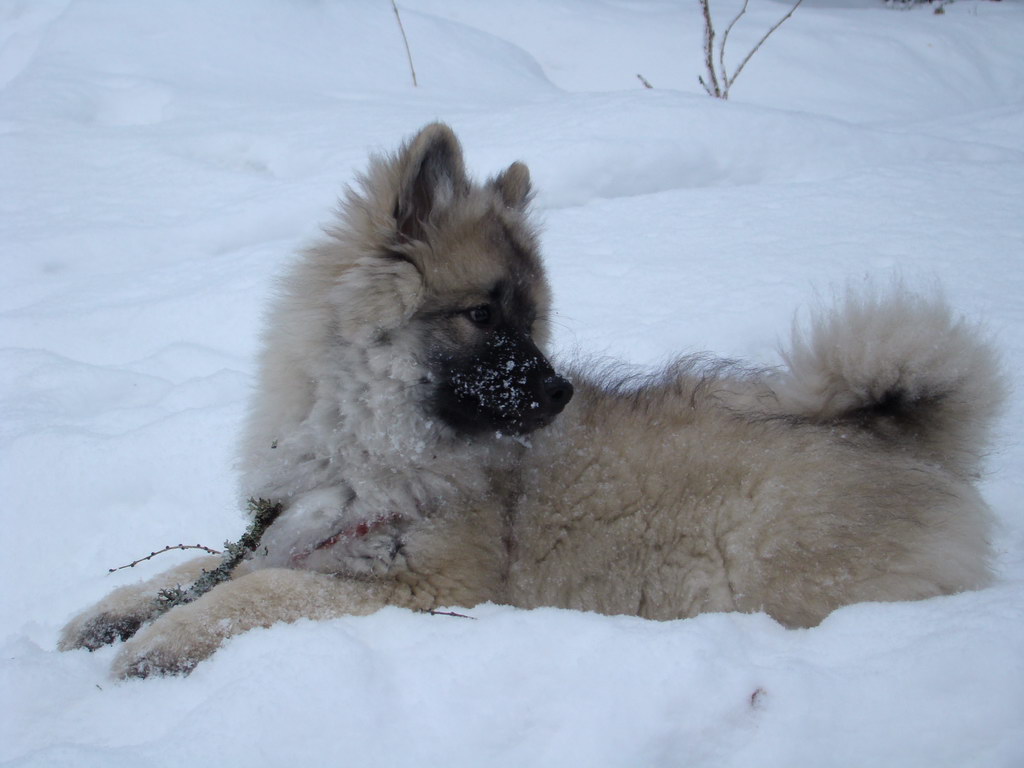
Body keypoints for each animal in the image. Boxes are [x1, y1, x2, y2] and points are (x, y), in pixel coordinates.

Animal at [59, 121, 1003, 679]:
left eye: (536, 320)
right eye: (484, 316)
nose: (559, 390)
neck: (369, 443)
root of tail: (912, 444)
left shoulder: (424, 587)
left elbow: (252, 596)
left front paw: (164, 641)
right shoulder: (292, 529)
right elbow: (195, 572)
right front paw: (109, 616)